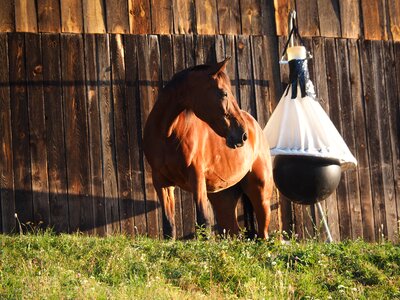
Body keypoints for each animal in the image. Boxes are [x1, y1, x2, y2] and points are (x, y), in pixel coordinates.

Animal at [142, 57, 274, 238]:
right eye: (224, 93)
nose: (242, 135)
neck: (167, 135)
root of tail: (255, 125)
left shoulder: (197, 178)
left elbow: (203, 220)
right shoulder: (161, 182)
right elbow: (169, 226)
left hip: (261, 194)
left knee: (263, 234)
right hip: (223, 197)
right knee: (233, 231)